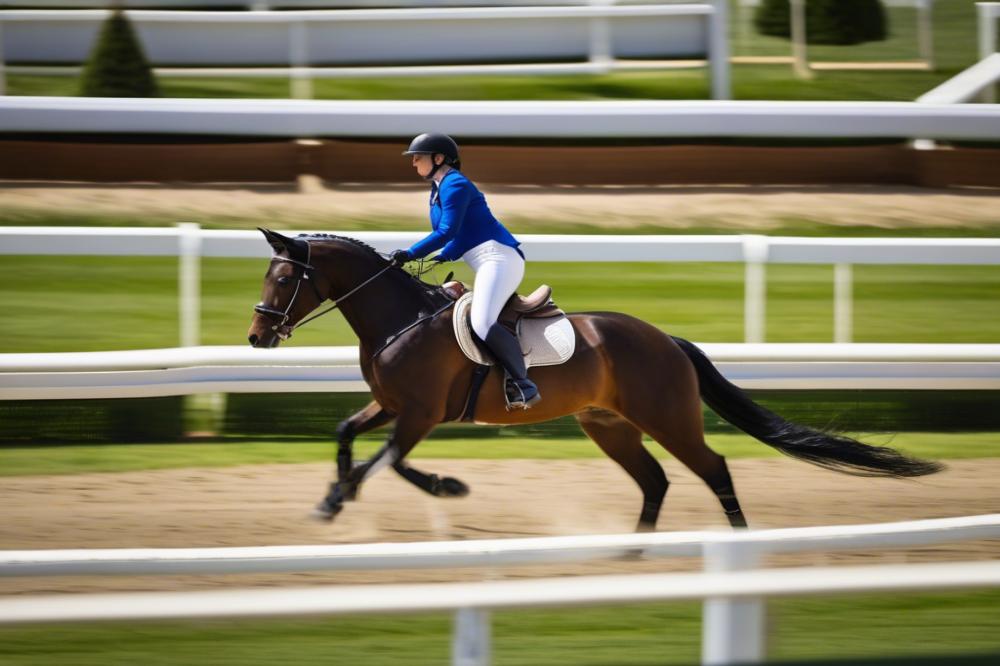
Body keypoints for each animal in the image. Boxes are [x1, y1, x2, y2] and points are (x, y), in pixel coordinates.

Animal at [247, 229, 943, 531]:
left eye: (283, 279)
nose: (255, 337)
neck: (399, 319)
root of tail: (667, 340)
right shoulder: (391, 405)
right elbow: (348, 435)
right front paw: (335, 496)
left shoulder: (418, 414)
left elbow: (387, 461)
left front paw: (432, 488)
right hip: (609, 426)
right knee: (656, 480)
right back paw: (635, 554)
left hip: (667, 417)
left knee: (712, 468)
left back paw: (734, 550)